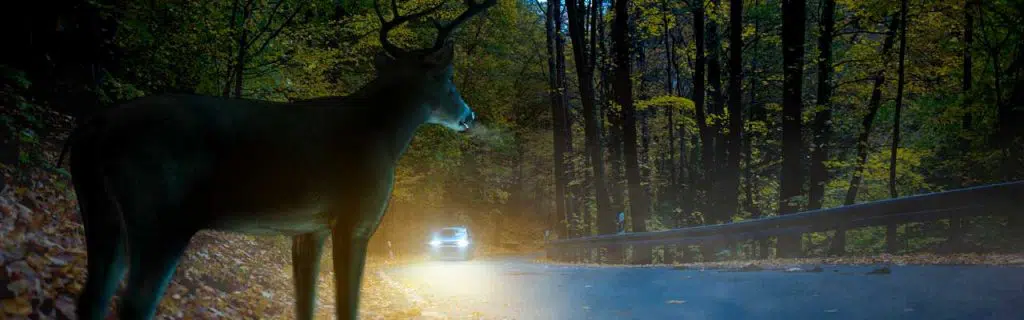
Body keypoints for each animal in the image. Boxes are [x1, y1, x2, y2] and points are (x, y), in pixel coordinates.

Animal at [60, 0, 499, 317]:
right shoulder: (355, 219)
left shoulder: (308, 227)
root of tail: (92, 126)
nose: (469, 115)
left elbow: (306, 305)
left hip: (102, 211)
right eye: (449, 79)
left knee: (92, 298)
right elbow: (347, 307)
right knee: (134, 304)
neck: (384, 134)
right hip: (161, 215)